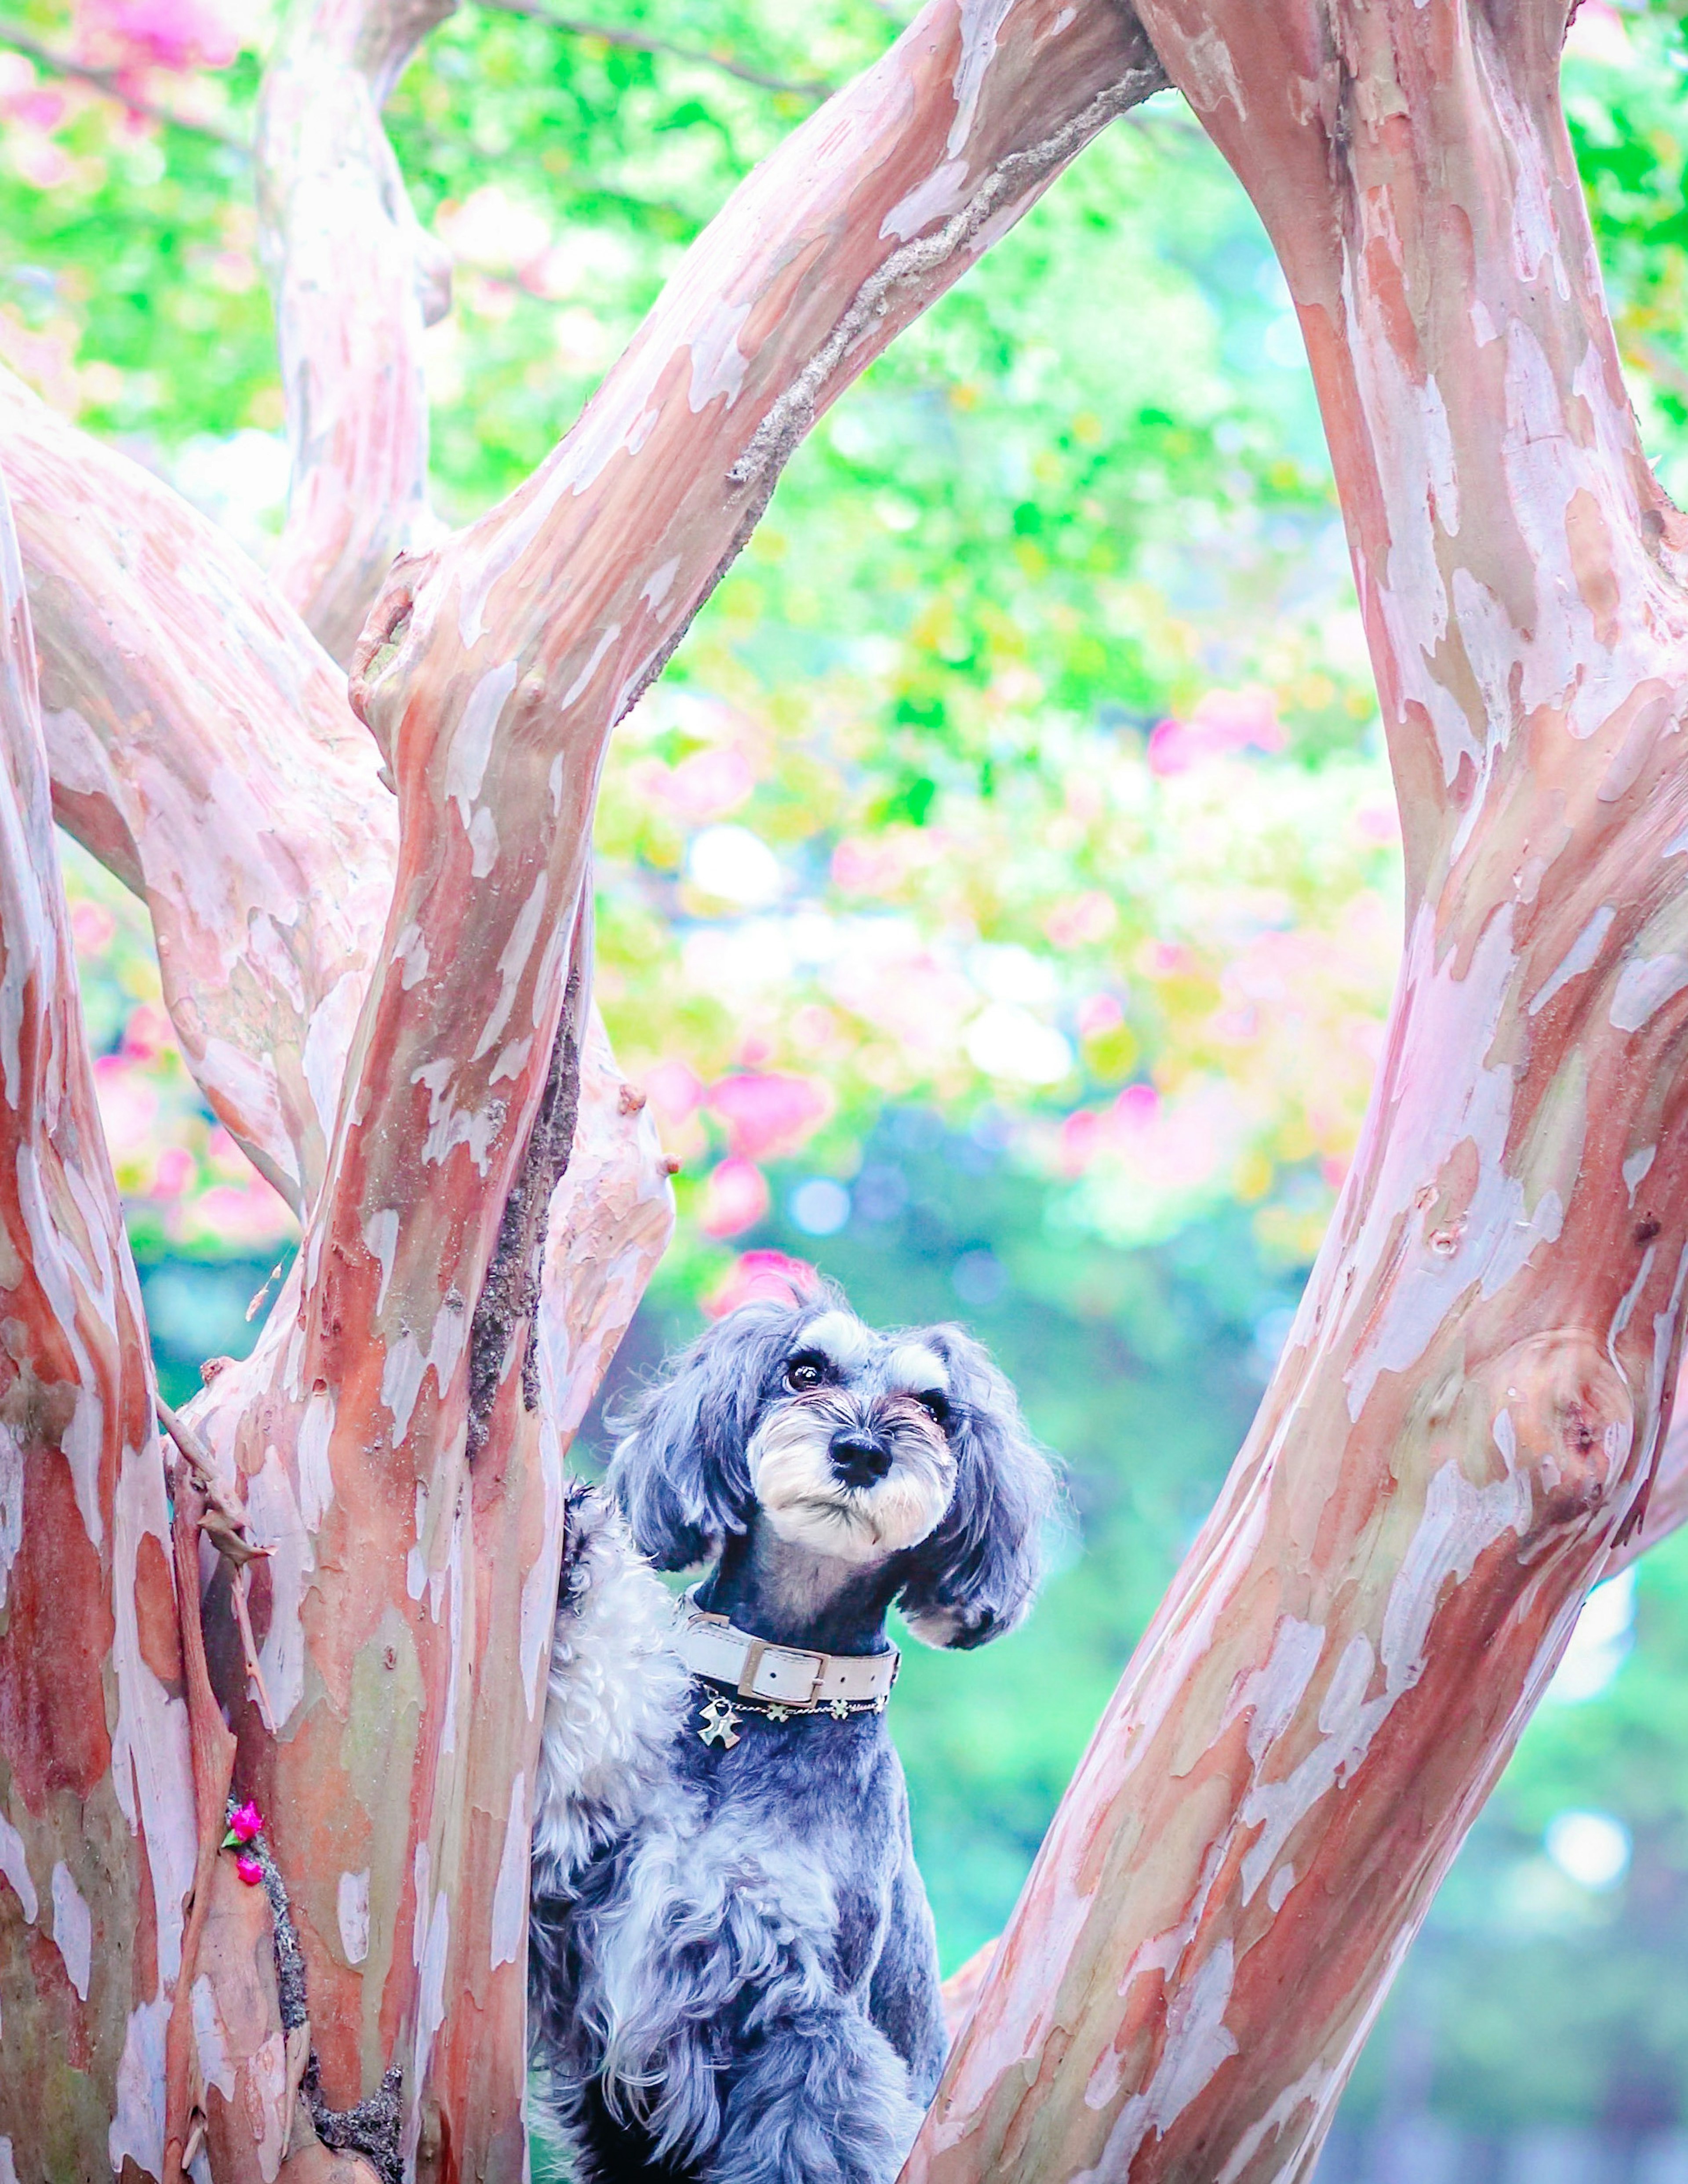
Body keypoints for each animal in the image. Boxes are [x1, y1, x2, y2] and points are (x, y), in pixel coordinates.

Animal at [526, 1284, 1052, 2184]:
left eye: (935, 1407)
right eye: (805, 1370)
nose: (863, 1449)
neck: (765, 1687)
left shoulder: (803, 2016)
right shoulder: (573, 1892)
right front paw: (580, 1551)